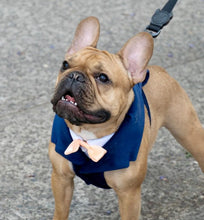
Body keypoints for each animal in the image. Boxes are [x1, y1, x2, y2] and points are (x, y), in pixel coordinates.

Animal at [48, 16, 204, 219]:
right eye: (65, 64)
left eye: (103, 78)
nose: (74, 75)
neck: (88, 137)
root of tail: (159, 69)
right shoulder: (61, 179)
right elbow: (61, 211)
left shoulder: (129, 195)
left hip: (188, 132)